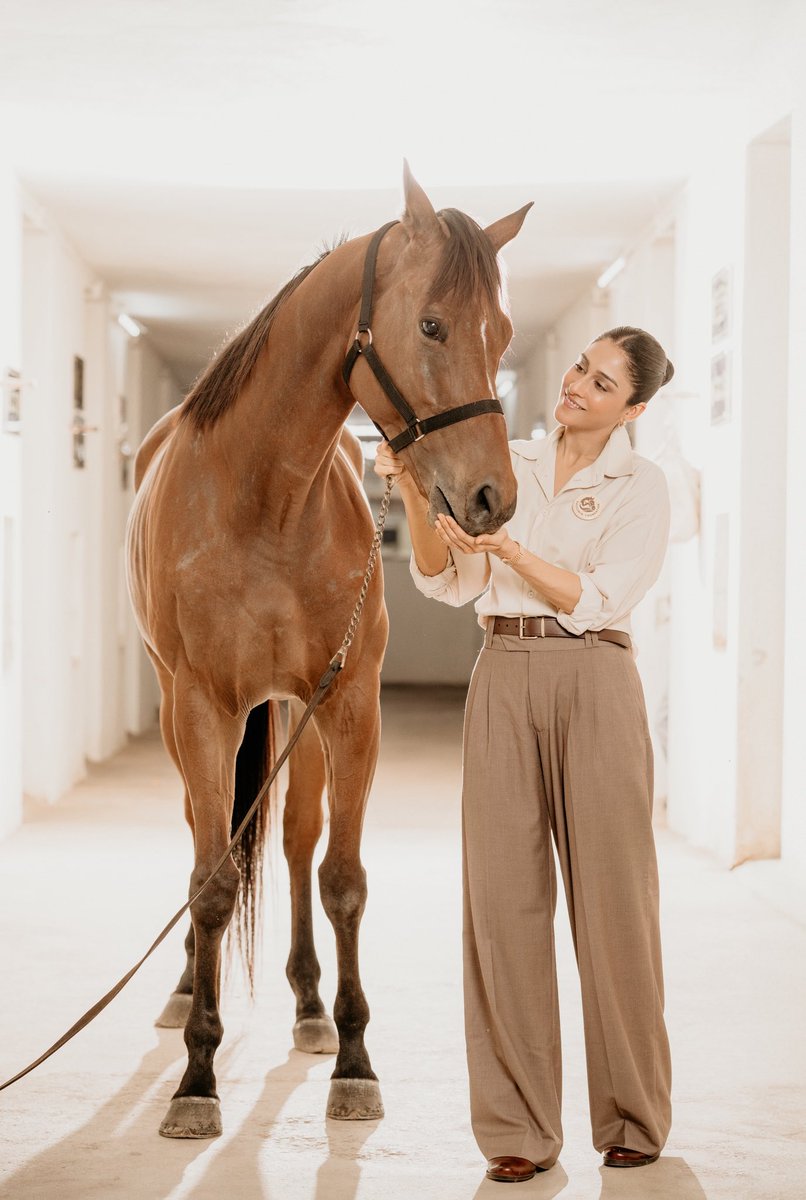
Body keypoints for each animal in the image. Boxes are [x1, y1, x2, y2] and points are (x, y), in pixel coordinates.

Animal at [126, 164, 531, 1139]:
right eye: (431, 325)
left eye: (502, 334)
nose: (492, 498)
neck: (263, 496)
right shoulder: (200, 707)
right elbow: (209, 882)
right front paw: (197, 1076)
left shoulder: (349, 704)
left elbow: (341, 875)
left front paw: (354, 1059)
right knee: (206, 836)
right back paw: (186, 988)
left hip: (293, 714)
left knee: (294, 839)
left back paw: (309, 1007)